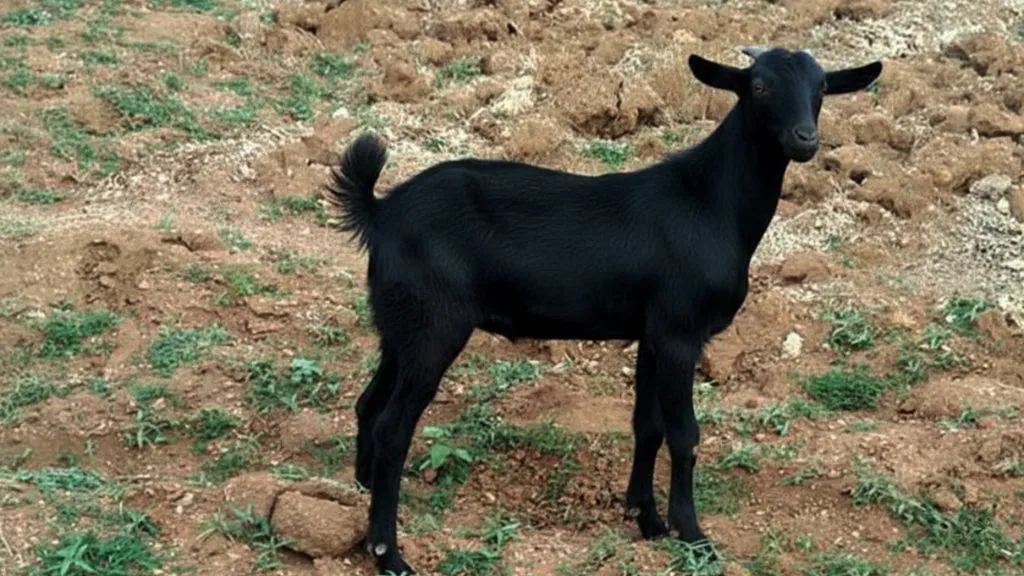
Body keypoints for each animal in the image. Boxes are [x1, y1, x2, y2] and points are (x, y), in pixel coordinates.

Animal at [323, 46, 883, 575]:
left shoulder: (652, 333)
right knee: (394, 428)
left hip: (402, 325)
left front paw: (646, 519)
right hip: (436, 327)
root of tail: (381, 212)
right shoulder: (680, 332)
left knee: (369, 404)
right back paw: (388, 553)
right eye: (760, 86)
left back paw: (361, 493)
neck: (709, 203)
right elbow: (685, 434)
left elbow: (647, 425)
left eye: (823, 88)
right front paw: (692, 534)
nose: (805, 139)